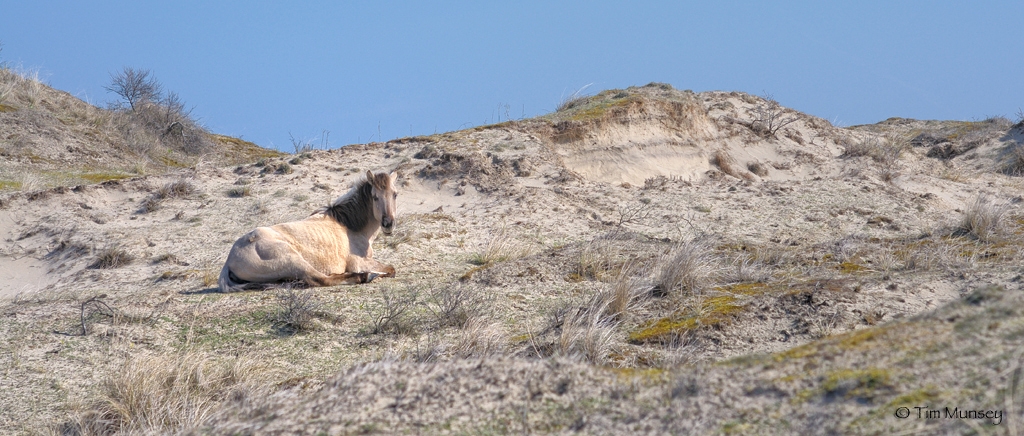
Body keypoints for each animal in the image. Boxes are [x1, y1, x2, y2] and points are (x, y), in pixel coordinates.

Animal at [218, 169, 397, 292]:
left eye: (395, 194)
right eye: (375, 197)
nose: (388, 223)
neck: (349, 226)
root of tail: (229, 260)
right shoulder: (358, 262)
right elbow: (391, 269)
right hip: (292, 260)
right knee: (319, 279)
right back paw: (367, 276)